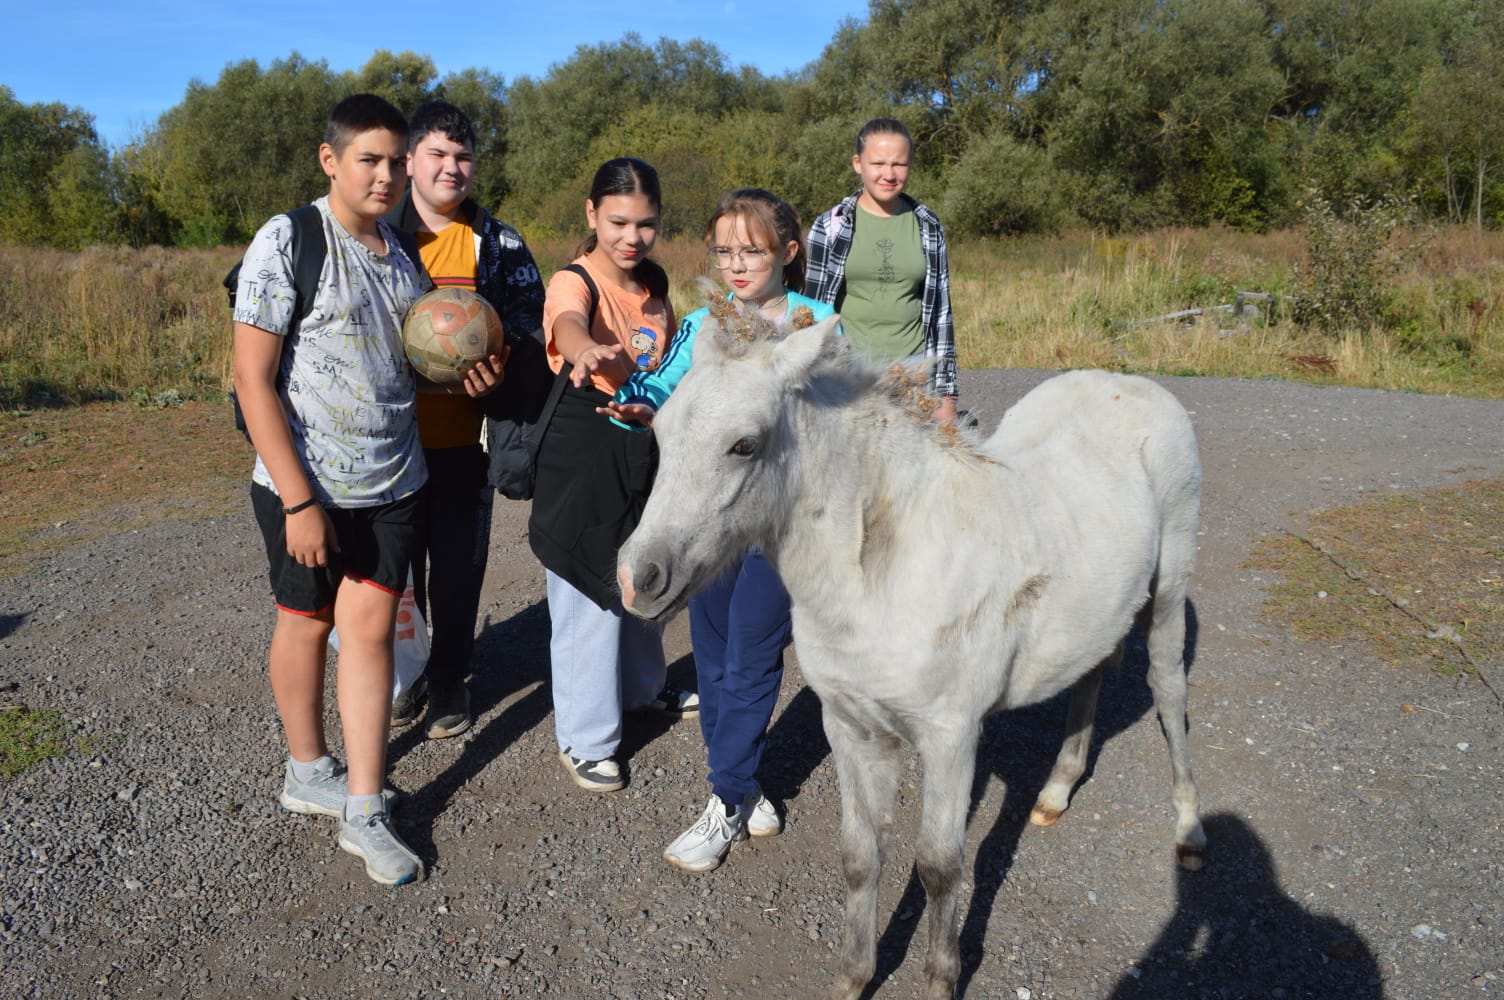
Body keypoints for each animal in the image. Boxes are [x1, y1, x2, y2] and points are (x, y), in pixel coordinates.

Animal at [616, 314, 1203, 998]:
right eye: (659, 433)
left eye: (745, 444)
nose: (638, 579)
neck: (885, 571)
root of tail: (1131, 383)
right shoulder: (851, 728)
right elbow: (860, 855)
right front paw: (853, 978)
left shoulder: (952, 738)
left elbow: (939, 867)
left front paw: (941, 981)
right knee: (1088, 681)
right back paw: (1056, 792)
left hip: (1169, 591)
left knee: (1169, 693)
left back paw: (1189, 831)